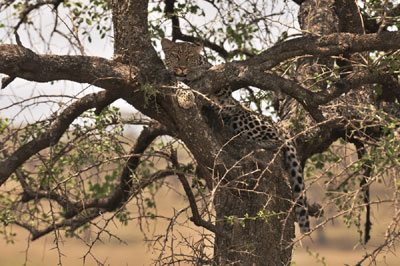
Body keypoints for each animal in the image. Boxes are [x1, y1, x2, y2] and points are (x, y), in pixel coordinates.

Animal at [161, 37, 310, 233]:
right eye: (176, 56)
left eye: (190, 57)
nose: (182, 68)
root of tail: (276, 123)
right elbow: (177, 82)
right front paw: (185, 94)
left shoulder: (224, 91)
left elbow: (209, 70)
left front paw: (195, 73)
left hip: (242, 117)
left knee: (275, 139)